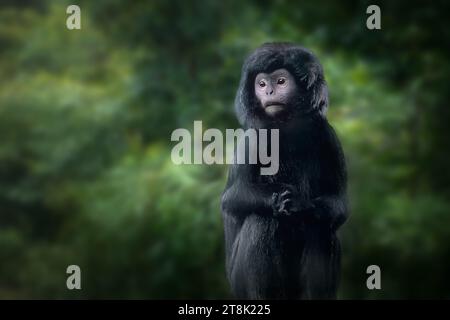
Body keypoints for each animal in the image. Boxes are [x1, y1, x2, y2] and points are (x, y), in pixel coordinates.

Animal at [221, 42, 348, 300]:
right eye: (261, 84)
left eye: (281, 81)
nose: (269, 92)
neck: (285, 127)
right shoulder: (253, 138)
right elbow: (231, 199)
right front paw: (278, 197)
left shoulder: (328, 135)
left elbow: (339, 205)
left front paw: (301, 204)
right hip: (238, 282)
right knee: (262, 221)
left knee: (321, 226)